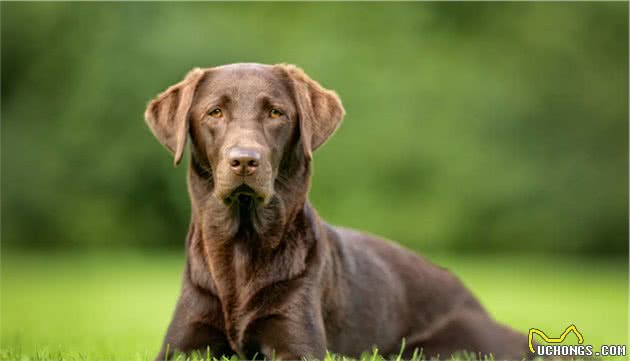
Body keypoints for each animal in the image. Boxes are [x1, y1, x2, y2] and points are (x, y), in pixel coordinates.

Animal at [144, 63, 532, 358]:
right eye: (215, 112)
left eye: (275, 112)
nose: (244, 160)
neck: (241, 250)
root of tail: (472, 298)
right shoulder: (181, 345)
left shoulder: (298, 344)